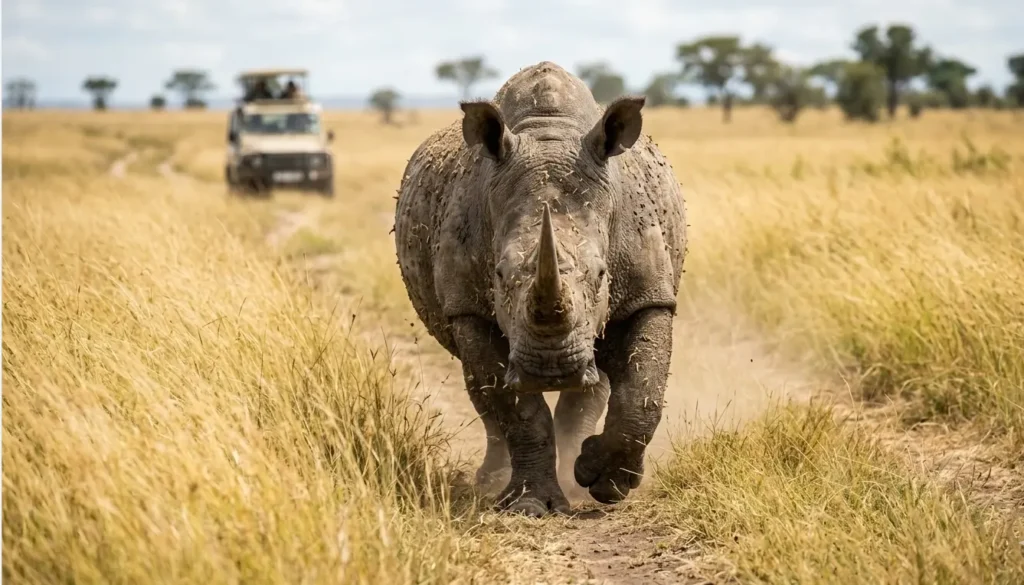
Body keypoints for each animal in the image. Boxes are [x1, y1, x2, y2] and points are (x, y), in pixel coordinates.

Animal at [394, 61, 687, 517]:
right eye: (498, 276)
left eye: (601, 274)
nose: (551, 369)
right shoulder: (468, 308)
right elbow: (515, 409)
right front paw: (531, 506)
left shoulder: (649, 293)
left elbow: (643, 391)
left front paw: (607, 484)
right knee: (483, 394)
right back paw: (493, 480)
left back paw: (578, 472)